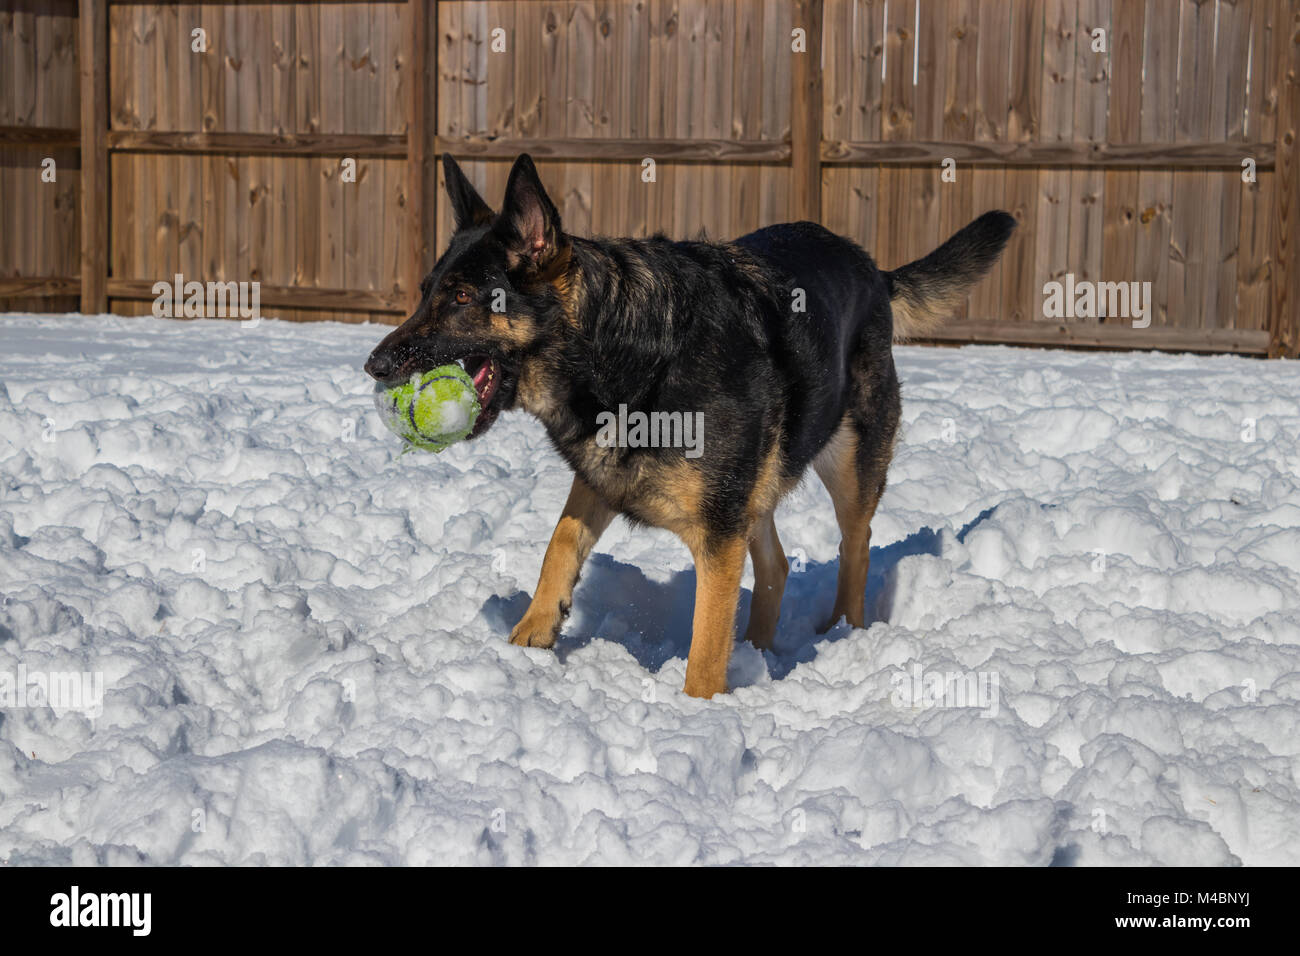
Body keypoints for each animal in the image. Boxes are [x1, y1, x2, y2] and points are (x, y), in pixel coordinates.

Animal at [366, 155, 1013, 697]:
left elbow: (705, 642)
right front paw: (534, 629)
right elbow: (560, 541)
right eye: (425, 292)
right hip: (756, 482)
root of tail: (874, 269)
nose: (373, 365)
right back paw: (757, 651)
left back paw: (841, 636)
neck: (626, 350)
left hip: (848, 466)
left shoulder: (718, 532)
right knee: (776, 564)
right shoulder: (607, 477)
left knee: (855, 548)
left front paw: (698, 711)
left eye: (462, 297)